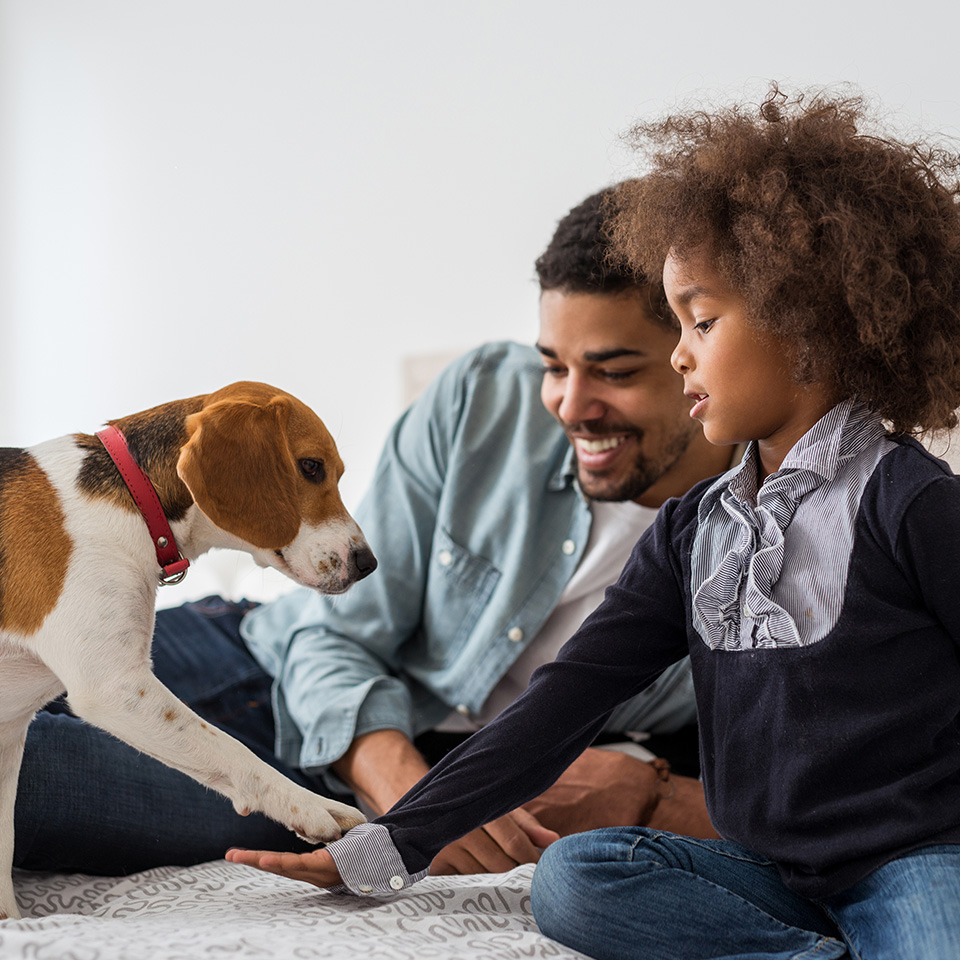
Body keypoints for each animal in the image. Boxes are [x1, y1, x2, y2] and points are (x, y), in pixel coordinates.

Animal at [0, 378, 376, 920]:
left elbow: (3, 846)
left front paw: (13, 923)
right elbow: (234, 748)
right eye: (311, 467)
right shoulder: (115, 686)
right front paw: (309, 804)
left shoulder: (9, 733)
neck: (134, 498)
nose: (368, 563)